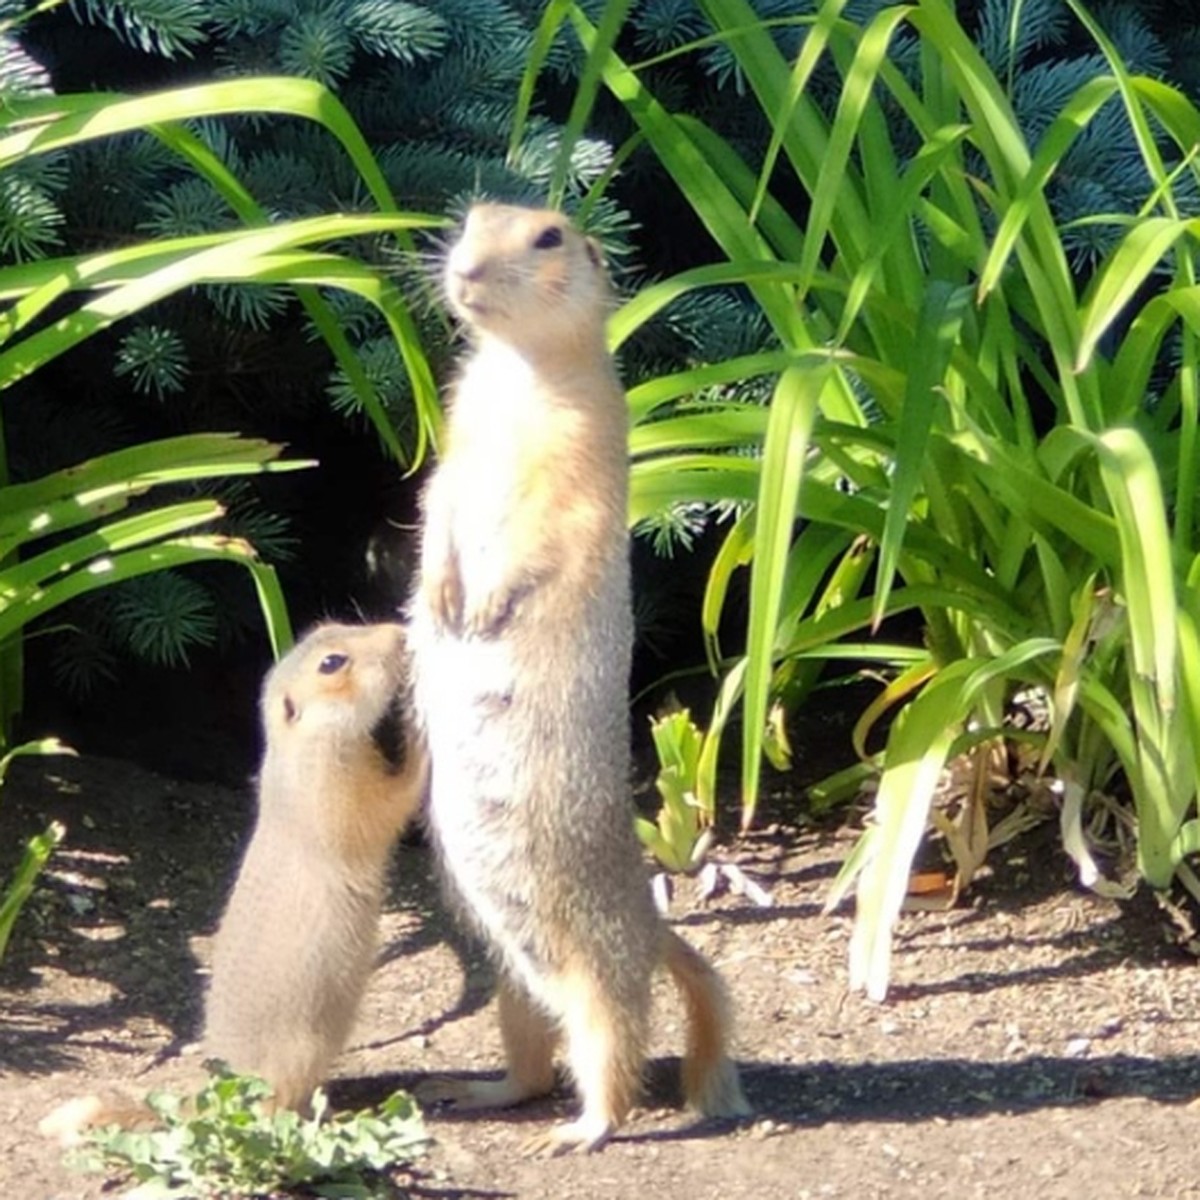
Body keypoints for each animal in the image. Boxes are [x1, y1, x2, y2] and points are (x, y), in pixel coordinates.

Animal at [41, 619, 427, 1142]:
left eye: (329, 626)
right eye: (332, 662)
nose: (398, 632)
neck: (298, 747)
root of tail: (218, 1092)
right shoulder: (336, 785)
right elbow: (386, 805)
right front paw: (421, 735)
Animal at [412, 204, 748, 1152]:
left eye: (550, 238)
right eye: (471, 219)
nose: (465, 270)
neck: (515, 372)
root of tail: (648, 924)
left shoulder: (578, 461)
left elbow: (541, 534)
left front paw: (484, 606)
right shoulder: (454, 446)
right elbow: (436, 505)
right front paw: (441, 594)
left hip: (587, 958)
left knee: (615, 1043)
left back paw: (584, 1129)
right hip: (510, 974)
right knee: (536, 1057)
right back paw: (479, 1090)